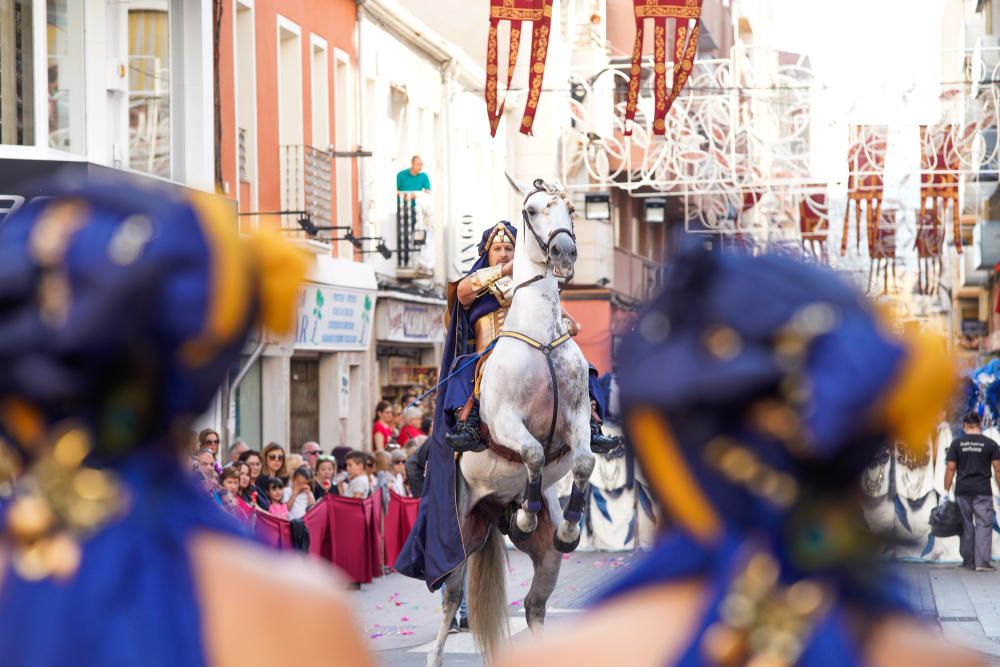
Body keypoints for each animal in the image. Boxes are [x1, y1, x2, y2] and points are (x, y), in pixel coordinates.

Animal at [424, 177, 592, 667]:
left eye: (570, 208)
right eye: (532, 210)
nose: (564, 253)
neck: (540, 338)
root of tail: (491, 513)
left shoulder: (577, 419)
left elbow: (585, 462)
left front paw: (570, 526)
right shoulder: (505, 423)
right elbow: (533, 452)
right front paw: (529, 513)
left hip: (544, 561)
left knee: (535, 606)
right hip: (458, 539)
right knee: (450, 600)